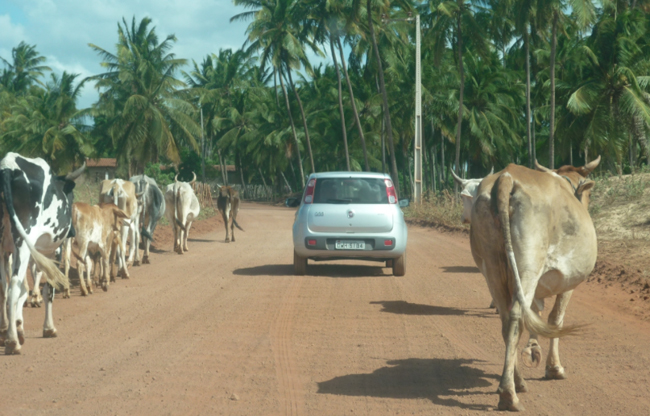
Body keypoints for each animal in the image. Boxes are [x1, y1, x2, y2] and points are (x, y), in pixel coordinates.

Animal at [0, 153, 85, 354]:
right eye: (70, 198)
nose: (72, 232)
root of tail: (8, 166)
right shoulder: (52, 252)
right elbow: (48, 288)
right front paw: (48, 327)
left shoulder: (11, 251)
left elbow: (23, 289)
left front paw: (18, 326)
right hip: (24, 242)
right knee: (13, 286)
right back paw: (12, 342)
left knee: (6, 288)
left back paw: (8, 333)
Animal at [466, 158, 596, 412]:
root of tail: (506, 177)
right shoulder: (568, 283)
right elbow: (555, 320)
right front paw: (554, 368)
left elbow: (535, 314)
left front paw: (534, 349)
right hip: (529, 263)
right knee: (517, 315)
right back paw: (509, 394)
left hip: (492, 267)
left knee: (507, 321)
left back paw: (517, 381)